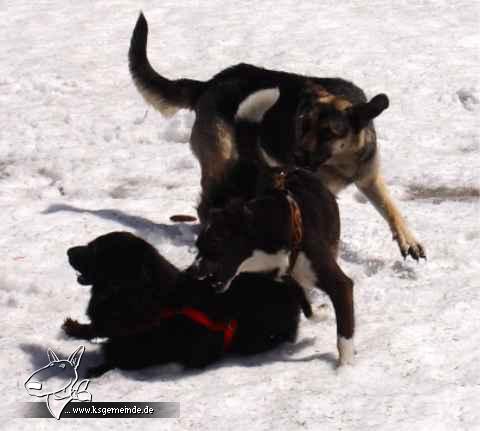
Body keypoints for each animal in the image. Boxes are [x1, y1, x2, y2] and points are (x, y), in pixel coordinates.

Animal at [62, 231, 312, 376]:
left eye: (95, 249)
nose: (68, 251)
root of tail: (286, 283)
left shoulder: (145, 349)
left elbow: (115, 354)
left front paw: (94, 368)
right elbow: (97, 330)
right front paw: (74, 328)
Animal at [129, 13, 426, 262]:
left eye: (328, 132)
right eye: (303, 125)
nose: (295, 157)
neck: (343, 157)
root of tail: (209, 84)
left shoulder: (369, 179)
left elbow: (392, 210)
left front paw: (408, 240)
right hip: (221, 157)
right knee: (206, 204)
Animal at [188, 93, 356, 366]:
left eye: (214, 246)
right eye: (197, 247)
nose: (192, 272)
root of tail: (281, 170)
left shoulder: (339, 285)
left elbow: (344, 335)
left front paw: (345, 368)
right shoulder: (283, 278)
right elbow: (306, 306)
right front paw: (318, 315)